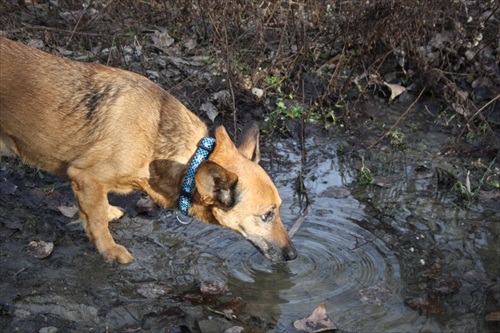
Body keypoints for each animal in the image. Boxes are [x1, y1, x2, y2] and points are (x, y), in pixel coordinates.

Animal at [0, 37, 296, 262]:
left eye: (280, 209)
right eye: (266, 215)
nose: (293, 255)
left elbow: (98, 209)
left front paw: (108, 211)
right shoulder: (85, 178)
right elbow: (96, 222)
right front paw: (110, 251)